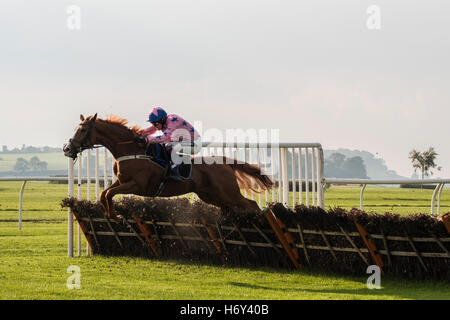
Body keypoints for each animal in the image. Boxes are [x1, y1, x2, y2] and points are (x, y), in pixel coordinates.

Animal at [62, 114, 274, 221]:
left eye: (82, 129)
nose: (67, 148)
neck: (132, 149)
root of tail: (223, 162)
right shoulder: (121, 181)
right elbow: (104, 193)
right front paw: (111, 214)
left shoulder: (137, 185)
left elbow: (109, 194)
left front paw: (116, 214)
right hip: (213, 196)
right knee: (237, 207)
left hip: (228, 192)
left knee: (252, 204)